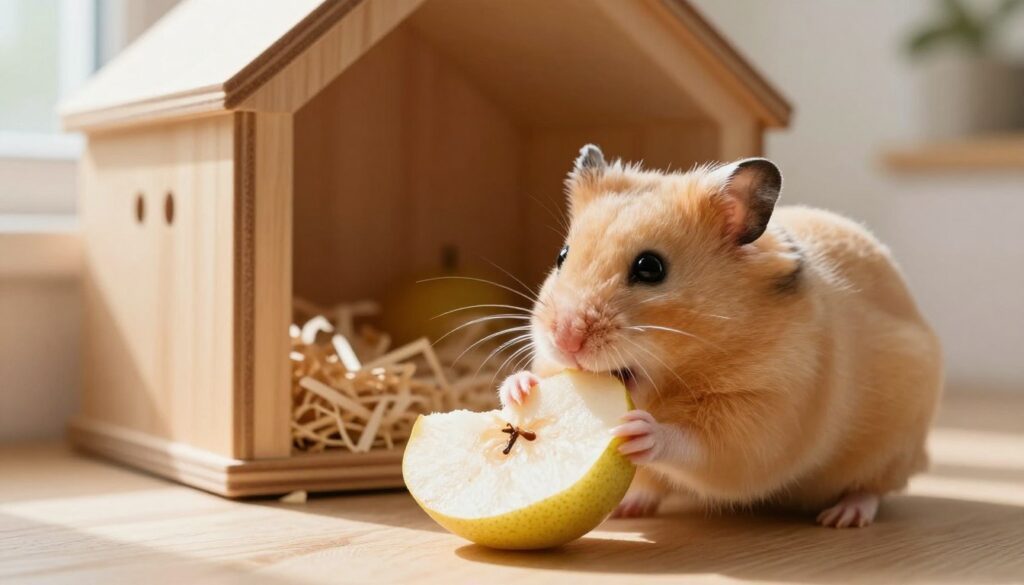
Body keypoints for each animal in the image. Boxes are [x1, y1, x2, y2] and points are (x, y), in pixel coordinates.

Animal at [498, 144, 942, 528]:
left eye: (650, 267)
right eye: (562, 256)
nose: (565, 338)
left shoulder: (766, 411)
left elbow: (699, 443)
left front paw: (640, 431)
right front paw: (519, 387)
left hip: (891, 449)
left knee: (873, 488)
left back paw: (843, 516)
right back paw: (627, 507)